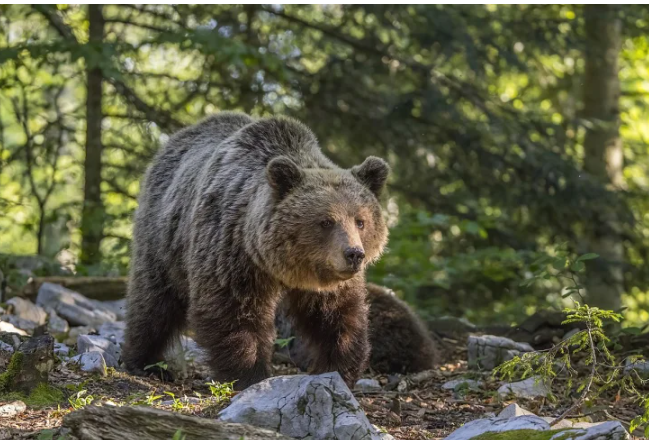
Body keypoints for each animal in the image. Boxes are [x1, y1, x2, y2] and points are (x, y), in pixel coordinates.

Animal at [123, 111, 390, 390]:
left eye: (360, 221)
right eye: (326, 221)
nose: (354, 254)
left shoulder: (328, 280)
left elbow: (338, 316)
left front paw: (337, 368)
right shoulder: (231, 251)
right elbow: (233, 311)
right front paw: (250, 374)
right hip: (164, 237)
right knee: (154, 301)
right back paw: (146, 362)